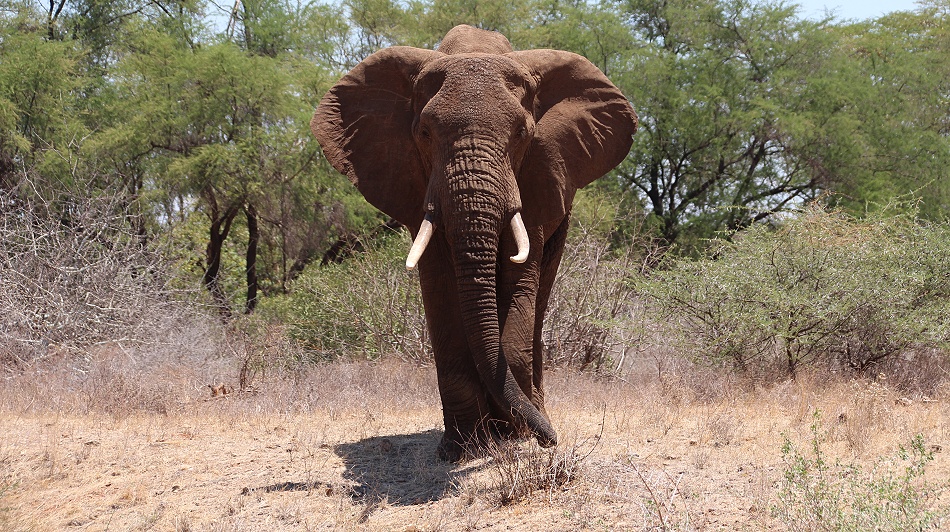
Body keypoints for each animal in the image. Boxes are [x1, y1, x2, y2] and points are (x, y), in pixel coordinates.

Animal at [311, 24, 637, 461]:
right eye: (425, 133)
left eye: (522, 134)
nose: (551, 440)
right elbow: (439, 287)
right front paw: (461, 449)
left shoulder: (539, 173)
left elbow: (520, 278)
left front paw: (516, 436)